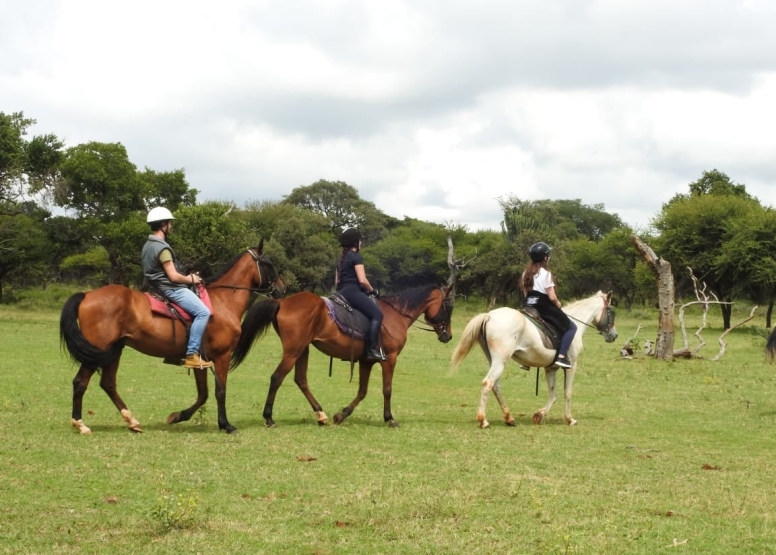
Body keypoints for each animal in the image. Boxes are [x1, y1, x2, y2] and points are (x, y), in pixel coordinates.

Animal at [59, 241, 284, 436]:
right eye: (268, 264)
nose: (282, 289)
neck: (222, 302)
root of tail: (87, 295)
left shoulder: (201, 359)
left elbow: (203, 394)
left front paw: (177, 416)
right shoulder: (222, 355)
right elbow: (220, 390)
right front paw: (225, 424)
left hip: (114, 350)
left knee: (108, 383)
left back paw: (132, 421)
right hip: (99, 349)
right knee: (80, 382)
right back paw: (81, 424)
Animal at [227, 284, 454, 428]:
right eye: (448, 308)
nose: (448, 336)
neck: (395, 314)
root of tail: (283, 302)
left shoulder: (366, 361)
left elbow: (362, 391)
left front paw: (341, 415)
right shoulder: (389, 358)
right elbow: (387, 390)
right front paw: (389, 418)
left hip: (303, 350)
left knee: (301, 380)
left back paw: (321, 414)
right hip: (293, 351)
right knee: (277, 378)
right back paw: (269, 418)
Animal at [448, 292, 620, 430]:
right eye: (611, 312)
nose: (614, 335)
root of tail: (490, 315)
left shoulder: (550, 368)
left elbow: (553, 394)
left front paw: (539, 415)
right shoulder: (571, 365)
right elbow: (567, 392)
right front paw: (569, 419)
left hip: (494, 361)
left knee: (495, 386)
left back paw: (509, 418)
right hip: (500, 361)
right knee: (487, 384)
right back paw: (483, 420)